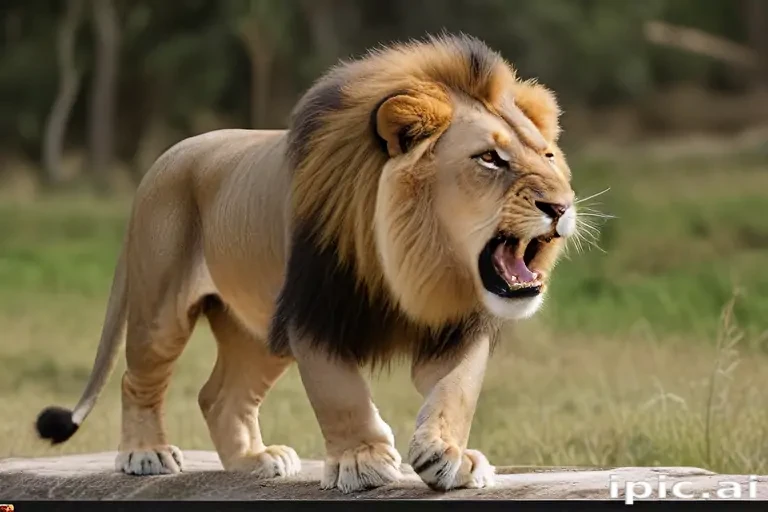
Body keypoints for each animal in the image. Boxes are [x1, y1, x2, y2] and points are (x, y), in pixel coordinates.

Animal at [35, 34, 578, 493]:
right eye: (490, 158)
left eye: (549, 156)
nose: (561, 206)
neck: (418, 262)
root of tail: (164, 160)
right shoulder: (313, 312)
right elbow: (340, 393)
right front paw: (362, 462)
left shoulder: (458, 325)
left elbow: (456, 391)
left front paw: (449, 456)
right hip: (161, 308)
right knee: (138, 378)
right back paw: (146, 453)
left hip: (257, 331)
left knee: (219, 396)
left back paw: (255, 461)